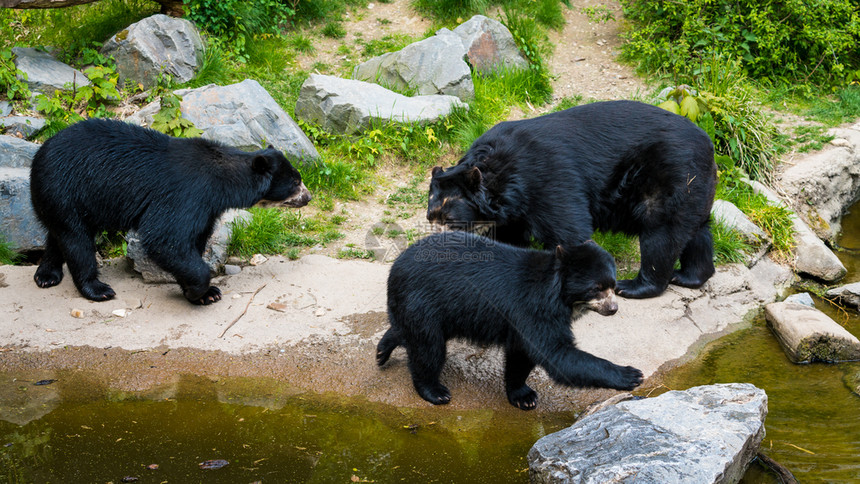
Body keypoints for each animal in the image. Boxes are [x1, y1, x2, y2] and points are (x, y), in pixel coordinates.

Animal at [31, 118, 312, 304]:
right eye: (296, 182)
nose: (308, 197)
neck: (223, 181)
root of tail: (39, 153)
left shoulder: (207, 208)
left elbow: (193, 241)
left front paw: (203, 293)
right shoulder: (186, 194)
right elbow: (166, 238)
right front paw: (201, 291)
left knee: (59, 234)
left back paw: (47, 275)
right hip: (65, 188)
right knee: (77, 241)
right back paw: (97, 289)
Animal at [372, 231, 640, 408]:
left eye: (613, 285)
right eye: (596, 288)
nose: (613, 308)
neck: (558, 294)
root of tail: (395, 265)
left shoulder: (524, 318)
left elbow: (521, 356)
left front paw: (524, 396)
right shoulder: (532, 309)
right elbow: (555, 354)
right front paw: (630, 374)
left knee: (408, 332)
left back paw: (382, 350)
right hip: (422, 300)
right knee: (428, 348)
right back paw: (434, 391)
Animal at [428, 100, 720, 298]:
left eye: (451, 219)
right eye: (430, 217)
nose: (436, 245)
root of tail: (709, 144)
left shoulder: (547, 180)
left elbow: (568, 230)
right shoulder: (512, 213)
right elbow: (509, 240)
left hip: (671, 177)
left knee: (661, 234)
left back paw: (635, 286)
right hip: (694, 187)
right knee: (696, 231)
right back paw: (689, 277)